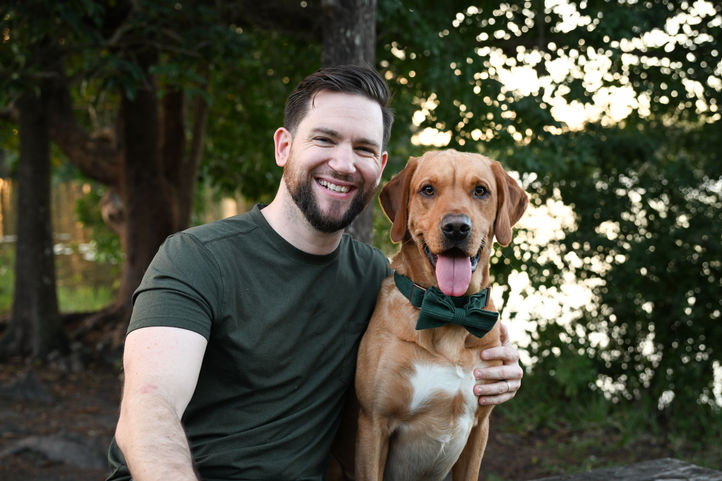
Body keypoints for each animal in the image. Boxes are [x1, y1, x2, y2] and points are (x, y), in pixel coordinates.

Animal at [353, 149, 528, 481]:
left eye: (481, 191)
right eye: (428, 190)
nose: (457, 227)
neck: (452, 313)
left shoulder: (479, 428)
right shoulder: (373, 425)